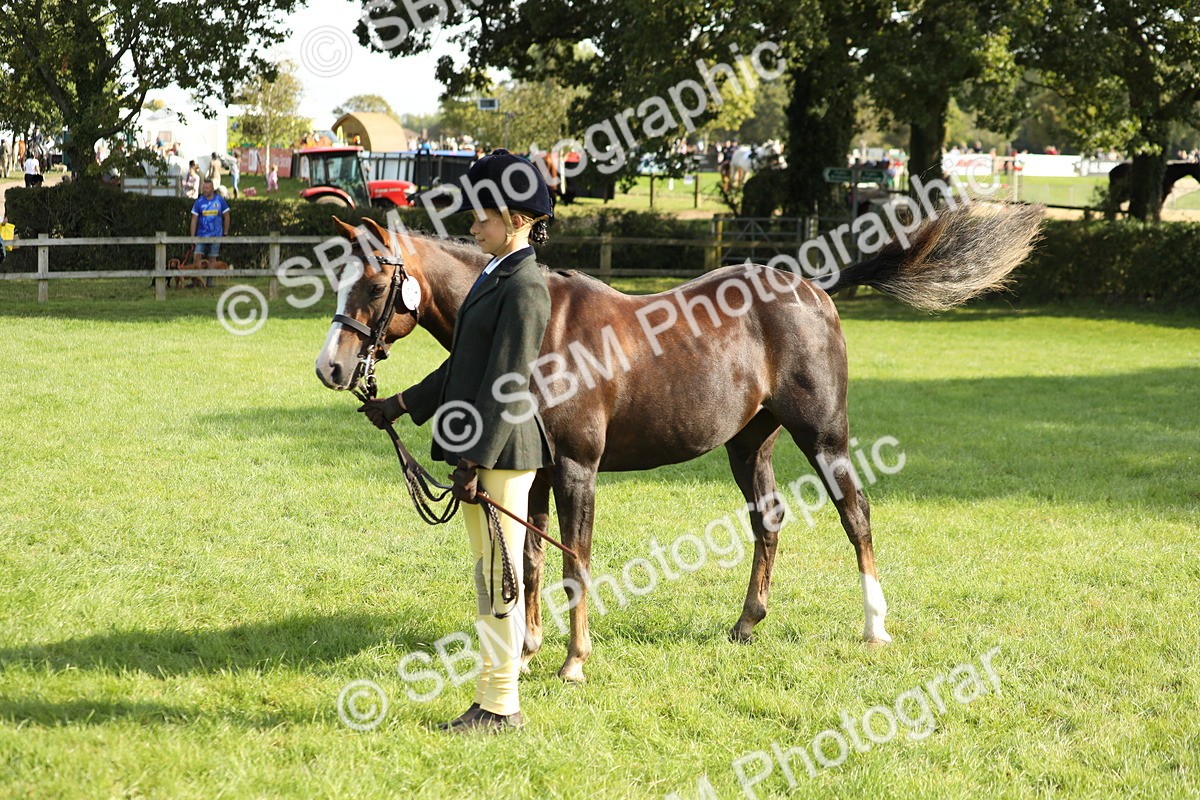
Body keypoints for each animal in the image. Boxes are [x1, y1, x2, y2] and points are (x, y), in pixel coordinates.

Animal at [314, 204, 1043, 683]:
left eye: (374, 284)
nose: (331, 368)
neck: (541, 328)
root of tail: (812, 286)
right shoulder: (540, 472)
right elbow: (531, 559)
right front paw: (526, 649)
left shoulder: (577, 470)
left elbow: (575, 561)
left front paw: (574, 662)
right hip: (750, 445)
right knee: (768, 520)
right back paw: (747, 623)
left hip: (824, 435)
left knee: (855, 514)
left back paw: (874, 627)